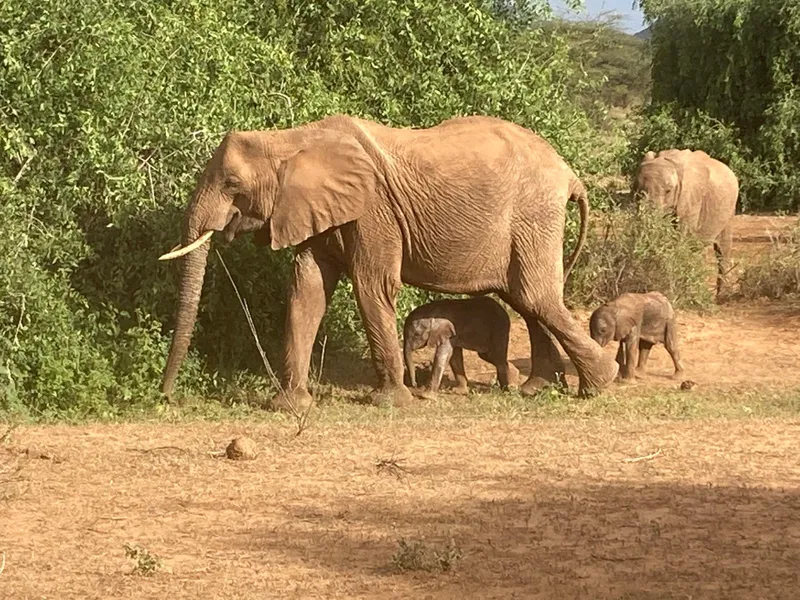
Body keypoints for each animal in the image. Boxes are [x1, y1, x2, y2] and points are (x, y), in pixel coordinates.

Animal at [158, 113, 620, 408]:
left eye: (232, 184)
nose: (167, 397)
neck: (291, 138)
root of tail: (569, 173)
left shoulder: (373, 210)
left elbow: (372, 285)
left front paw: (391, 402)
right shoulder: (319, 209)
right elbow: (307, 289)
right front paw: (290, 406)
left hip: (533, 214)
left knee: (535, 295)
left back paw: (600, 383)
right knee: (527, 301)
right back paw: (538, 388)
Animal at [636, 150, 740, 296]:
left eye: (668, 191)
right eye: (639, 190)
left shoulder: (690, 198)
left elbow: (681, 237)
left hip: (729, 208)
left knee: (722, 249)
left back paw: (721, 295)